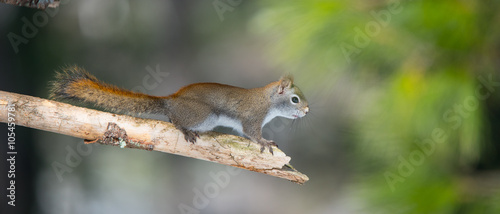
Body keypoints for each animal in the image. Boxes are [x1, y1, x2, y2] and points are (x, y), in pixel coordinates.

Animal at [50, 65, 308, 154]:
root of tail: (171, 100)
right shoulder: (253, 117)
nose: (307, 111)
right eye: (295, 99)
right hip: (203, 115)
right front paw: (264, 142)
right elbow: (252, 133)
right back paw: (184, 129)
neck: (268, 101)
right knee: (174, 119)